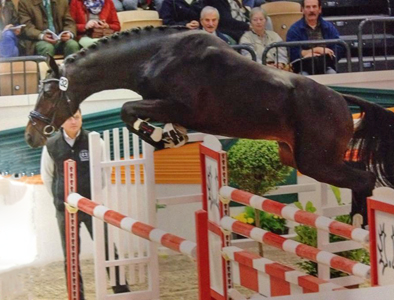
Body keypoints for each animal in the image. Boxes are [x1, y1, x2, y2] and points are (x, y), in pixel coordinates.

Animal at [23, 26, 394, 223]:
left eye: (49, 95)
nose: (30, 136)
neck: (155, 56)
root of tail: (343, 102)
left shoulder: (177, 105)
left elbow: (129, 110)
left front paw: (164, 139)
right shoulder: (167, 107)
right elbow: (135, 114)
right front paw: (171, 136)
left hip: (315, 162)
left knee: (363, 179)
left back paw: (359, 226)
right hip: (297, 156)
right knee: (359, 178)